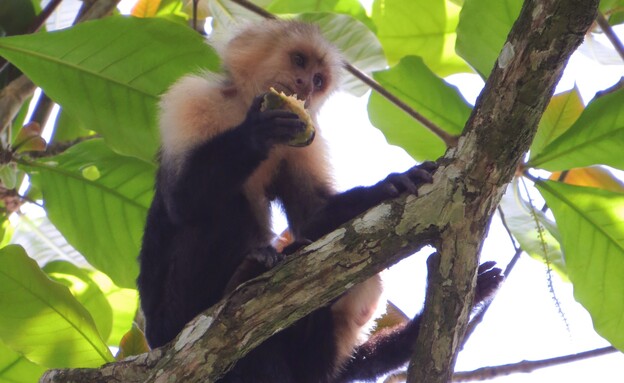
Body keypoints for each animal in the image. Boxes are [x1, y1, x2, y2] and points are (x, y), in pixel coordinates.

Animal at [139, 18, 504, 383]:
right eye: (299, 61)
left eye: (318, 80)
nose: (305, 85)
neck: (242, 107)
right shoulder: (192, 98)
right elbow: (181, 198)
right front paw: (257, 133)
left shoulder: (306, 136)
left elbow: (313, 211)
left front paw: (387, 186)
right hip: (170, 318)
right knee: (221, 208)